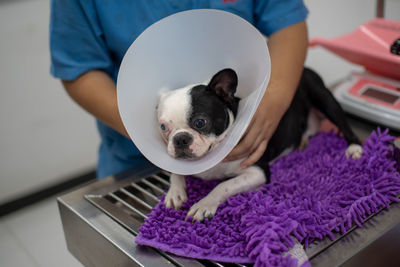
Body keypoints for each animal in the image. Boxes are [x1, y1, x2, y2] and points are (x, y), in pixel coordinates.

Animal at [156, 67, 362, 222]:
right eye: (163, 127)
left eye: (200, 122)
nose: (180, 139)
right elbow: (175, 173)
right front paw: (175, 192)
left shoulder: (257, 173)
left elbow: (223, 186)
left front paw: (204, 204)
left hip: (324, 98)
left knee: (344, 124)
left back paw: (354, 148)